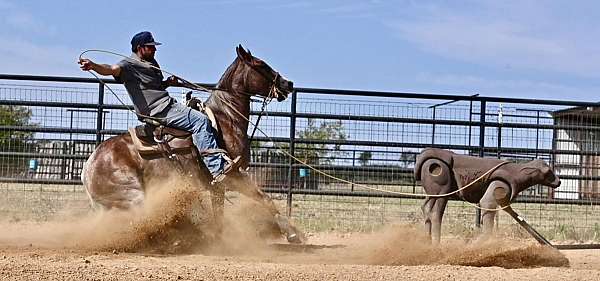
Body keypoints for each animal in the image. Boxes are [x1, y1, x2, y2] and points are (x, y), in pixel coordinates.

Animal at [82, 44, 302, 242]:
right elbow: (264, 198)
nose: (288, 83)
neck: (226, 119)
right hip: (133, 196)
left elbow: (219, 215)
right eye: (261, 65)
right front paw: (292, 233)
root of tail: (89, 164)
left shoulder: (217, 187)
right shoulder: (232, 175)